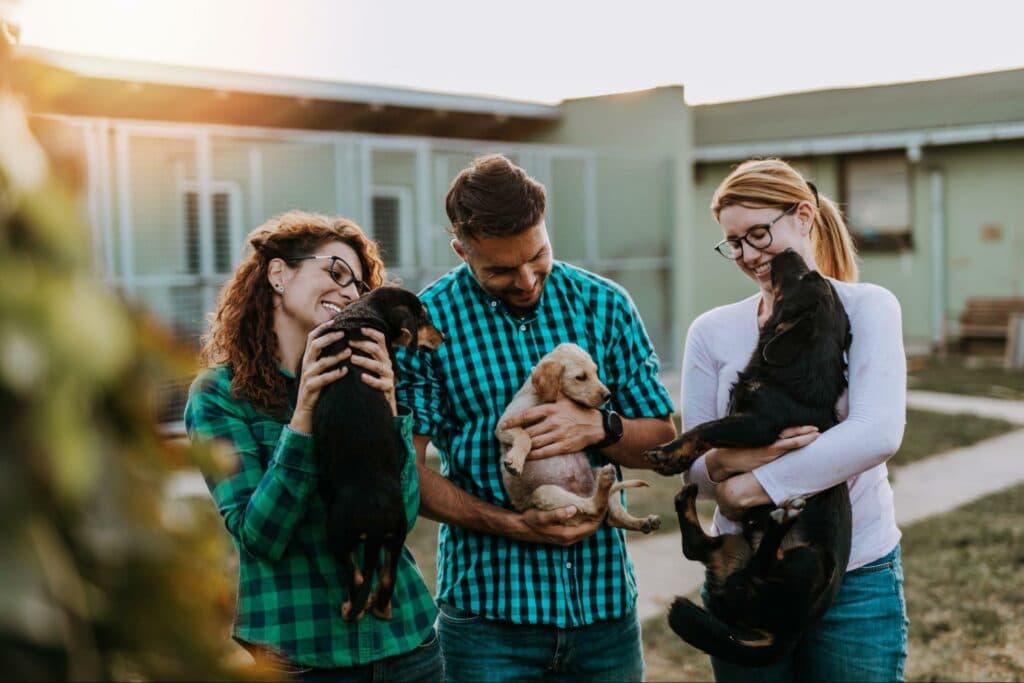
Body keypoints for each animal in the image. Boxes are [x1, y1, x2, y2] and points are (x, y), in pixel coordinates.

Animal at [309, 286, 442, 622]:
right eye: (423, 318)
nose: (443, 337)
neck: (361, 313)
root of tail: (376, 515)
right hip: (397, 535)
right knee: (386, 577)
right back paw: (381, 609)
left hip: (337, 536)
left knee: (356, 576)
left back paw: (350, 609)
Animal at [497, 344, 663, 532]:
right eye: (580, 377)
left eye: (596, 372)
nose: (608, 395)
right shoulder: (504, 424)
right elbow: (525, 437)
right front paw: (515, 462)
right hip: (545, 492)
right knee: (597, 508)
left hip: (594, 472)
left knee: (610, 513)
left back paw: (643, 521)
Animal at [647, 249, 856, 667]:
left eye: (805, 276)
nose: (787, 251)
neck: (798, 372)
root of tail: (786, 635)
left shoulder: (757, 425)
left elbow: (707, 428)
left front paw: (670, 453)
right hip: (732, 547)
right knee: (698, 548)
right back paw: (690, 502)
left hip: (810, 562)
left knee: (763, 561)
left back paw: (781, 519)